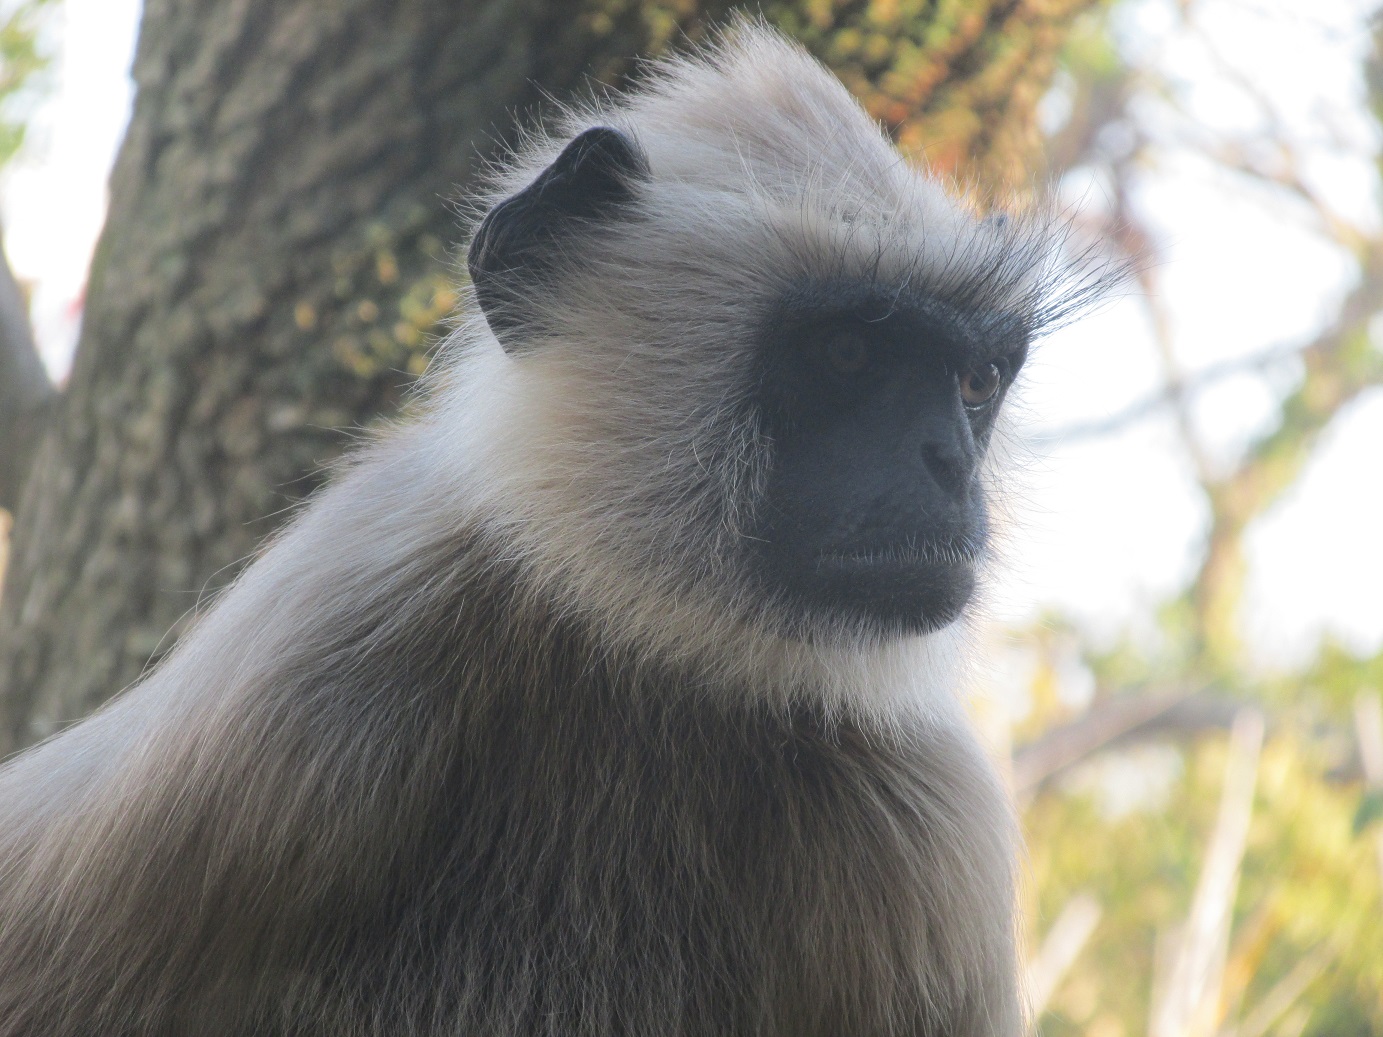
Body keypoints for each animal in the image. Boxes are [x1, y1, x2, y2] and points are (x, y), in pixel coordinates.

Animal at [0, 24, 1100, 1037]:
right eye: (847, 356)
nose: (948, 464)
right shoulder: (332, 623)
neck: (655, 659)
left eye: (974, 383)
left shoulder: (931, 821)